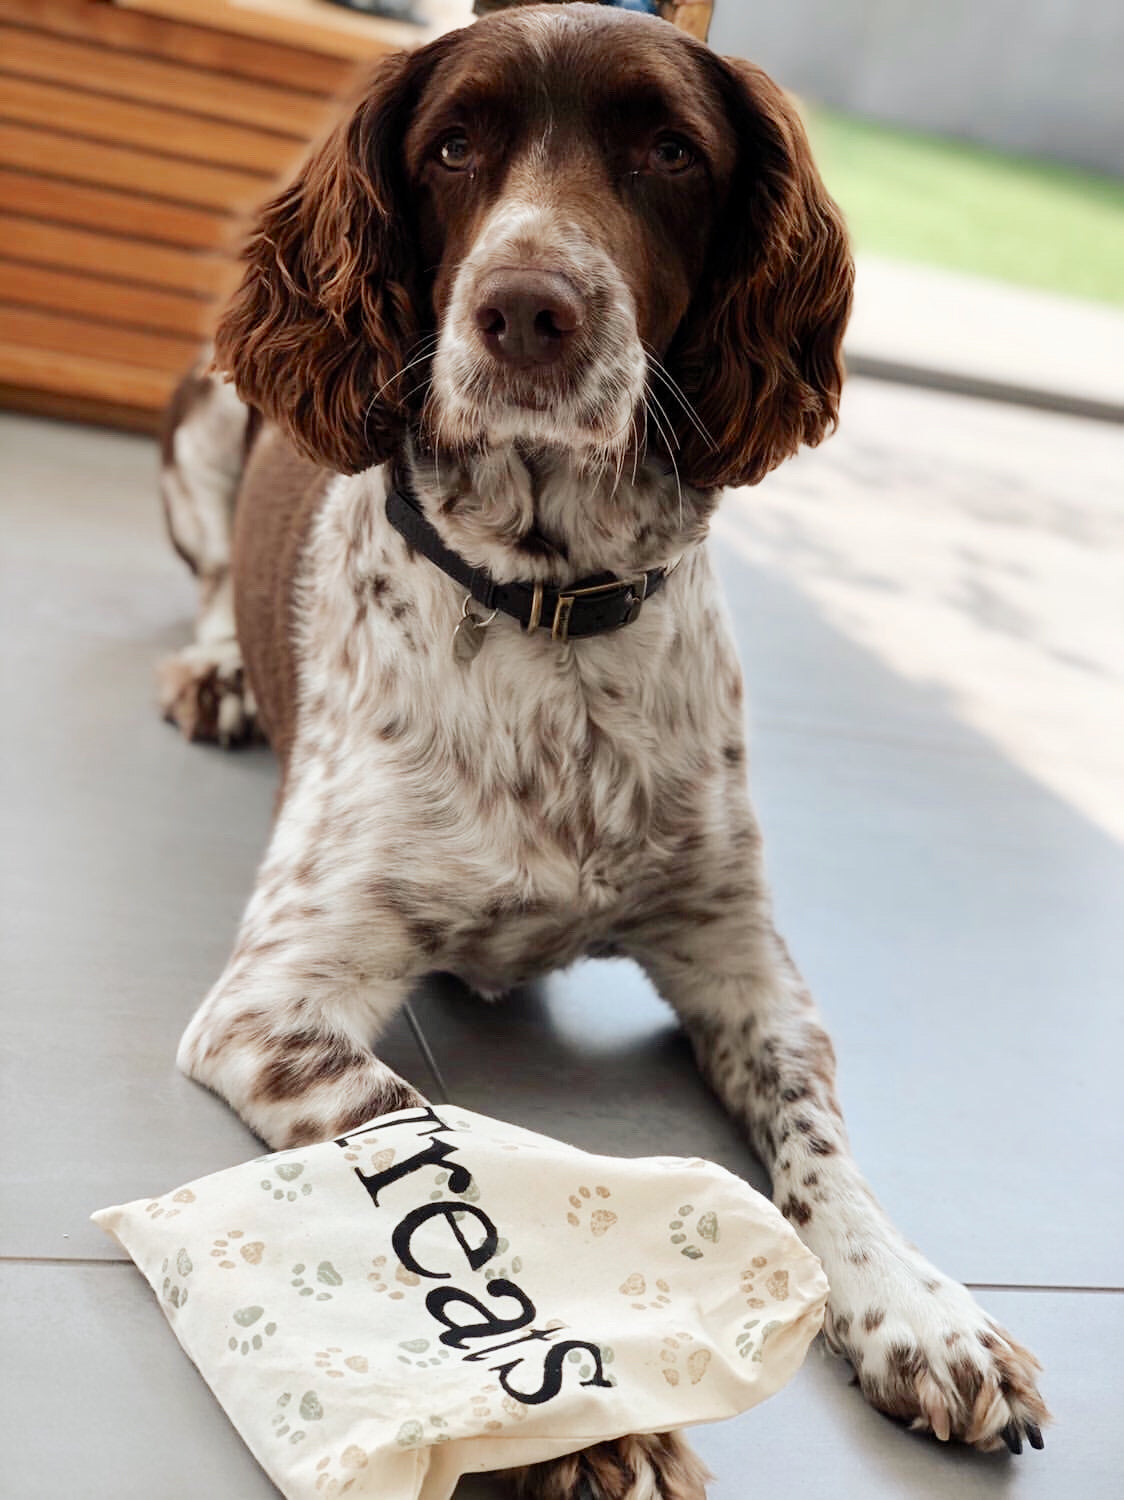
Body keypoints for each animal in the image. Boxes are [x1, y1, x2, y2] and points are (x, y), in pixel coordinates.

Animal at [162, 5, 1050, 1494]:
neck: (550, 607)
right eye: (453, 145)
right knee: (214, 567)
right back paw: (217, 665)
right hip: (212, 414)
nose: (528, 308)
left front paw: (920, 1312)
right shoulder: (273, 1006)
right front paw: (589, 1421)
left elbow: (823, 1150)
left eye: (671, 152)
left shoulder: (746, 968)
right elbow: (452, 1161)